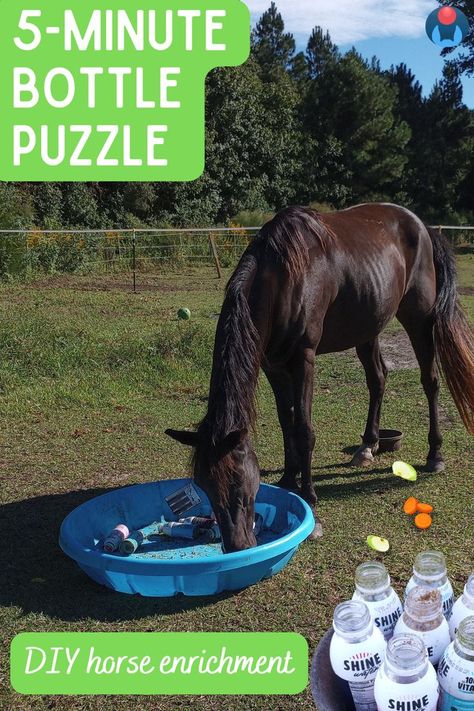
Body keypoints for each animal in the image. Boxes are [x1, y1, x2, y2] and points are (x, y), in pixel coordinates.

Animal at [166, 203, 470, 552]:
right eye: (203, 484)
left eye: (239, 481)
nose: (237, 547)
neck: (282, 278)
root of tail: (420, 225)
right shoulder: (273, 365)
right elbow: (286, 421)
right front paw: (288, 479)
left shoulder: (304, 359)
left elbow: (304, 428)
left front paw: (309, 495)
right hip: (368, 327)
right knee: (378, 379)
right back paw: (367, 447)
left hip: (418, 318)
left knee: (430, 382)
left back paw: (435, 455)